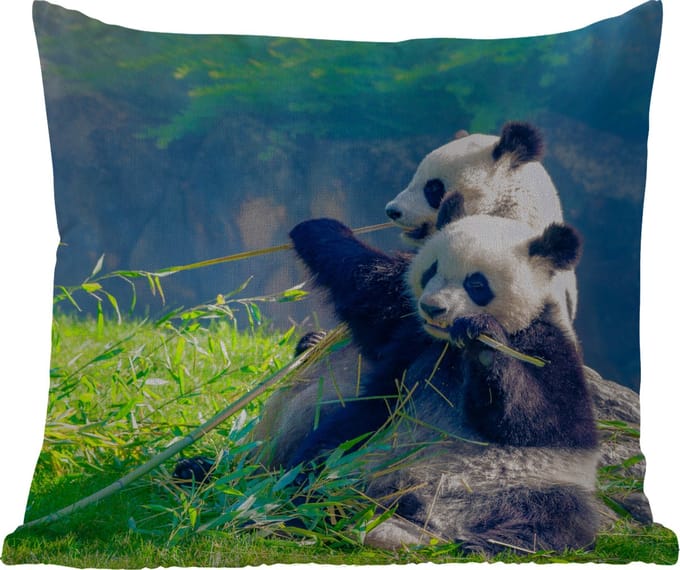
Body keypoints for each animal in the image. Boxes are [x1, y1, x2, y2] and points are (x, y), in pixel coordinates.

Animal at [284, 214, 599, 553]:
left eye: (476, 283)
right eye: (431, 270)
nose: (433, 308)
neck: (450, 346)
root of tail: (431, 517)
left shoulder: (546, 346)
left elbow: (539, 418)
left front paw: (483, 342)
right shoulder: (411, 328)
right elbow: (367, 284)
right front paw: (317, 228)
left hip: (529, 483)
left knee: (556, 516)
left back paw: (486, 543)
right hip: (363, 449)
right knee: (320, 464)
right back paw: (307, 510)